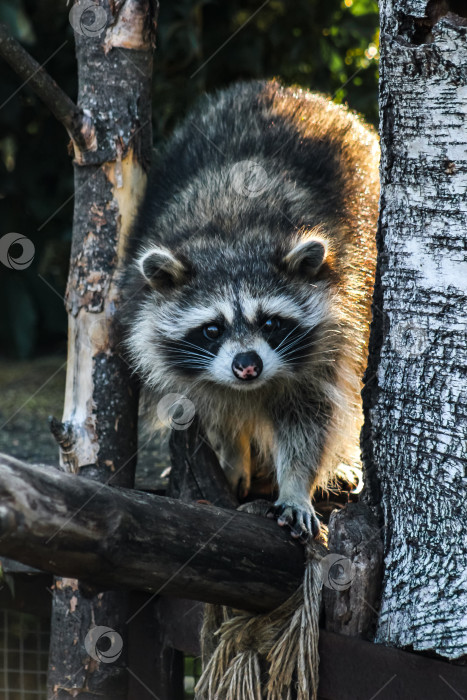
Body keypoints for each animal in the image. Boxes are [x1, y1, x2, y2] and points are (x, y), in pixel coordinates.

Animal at [120, 80, 380, 540]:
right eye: (212, 329)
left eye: (272, 323)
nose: (247, 366)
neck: (234, 235)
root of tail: (291, 90)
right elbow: (210, 409)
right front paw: (230, 451)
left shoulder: (336, 326)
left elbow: (311, 418)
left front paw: (295, 485)